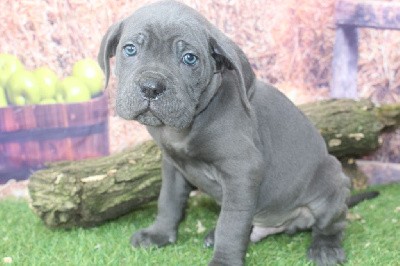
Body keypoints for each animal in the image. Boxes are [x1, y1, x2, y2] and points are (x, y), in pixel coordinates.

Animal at [99, 1, 354, 264]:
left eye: (189, 58)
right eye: (130, 49)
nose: (151, 87)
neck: (186, 127)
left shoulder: (242, 171)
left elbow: (231, 224)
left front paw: (224, 260)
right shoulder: (172, 165)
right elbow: (168, 201)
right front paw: (159, 234)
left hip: (331, 181)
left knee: (333, 223)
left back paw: (325, 248)